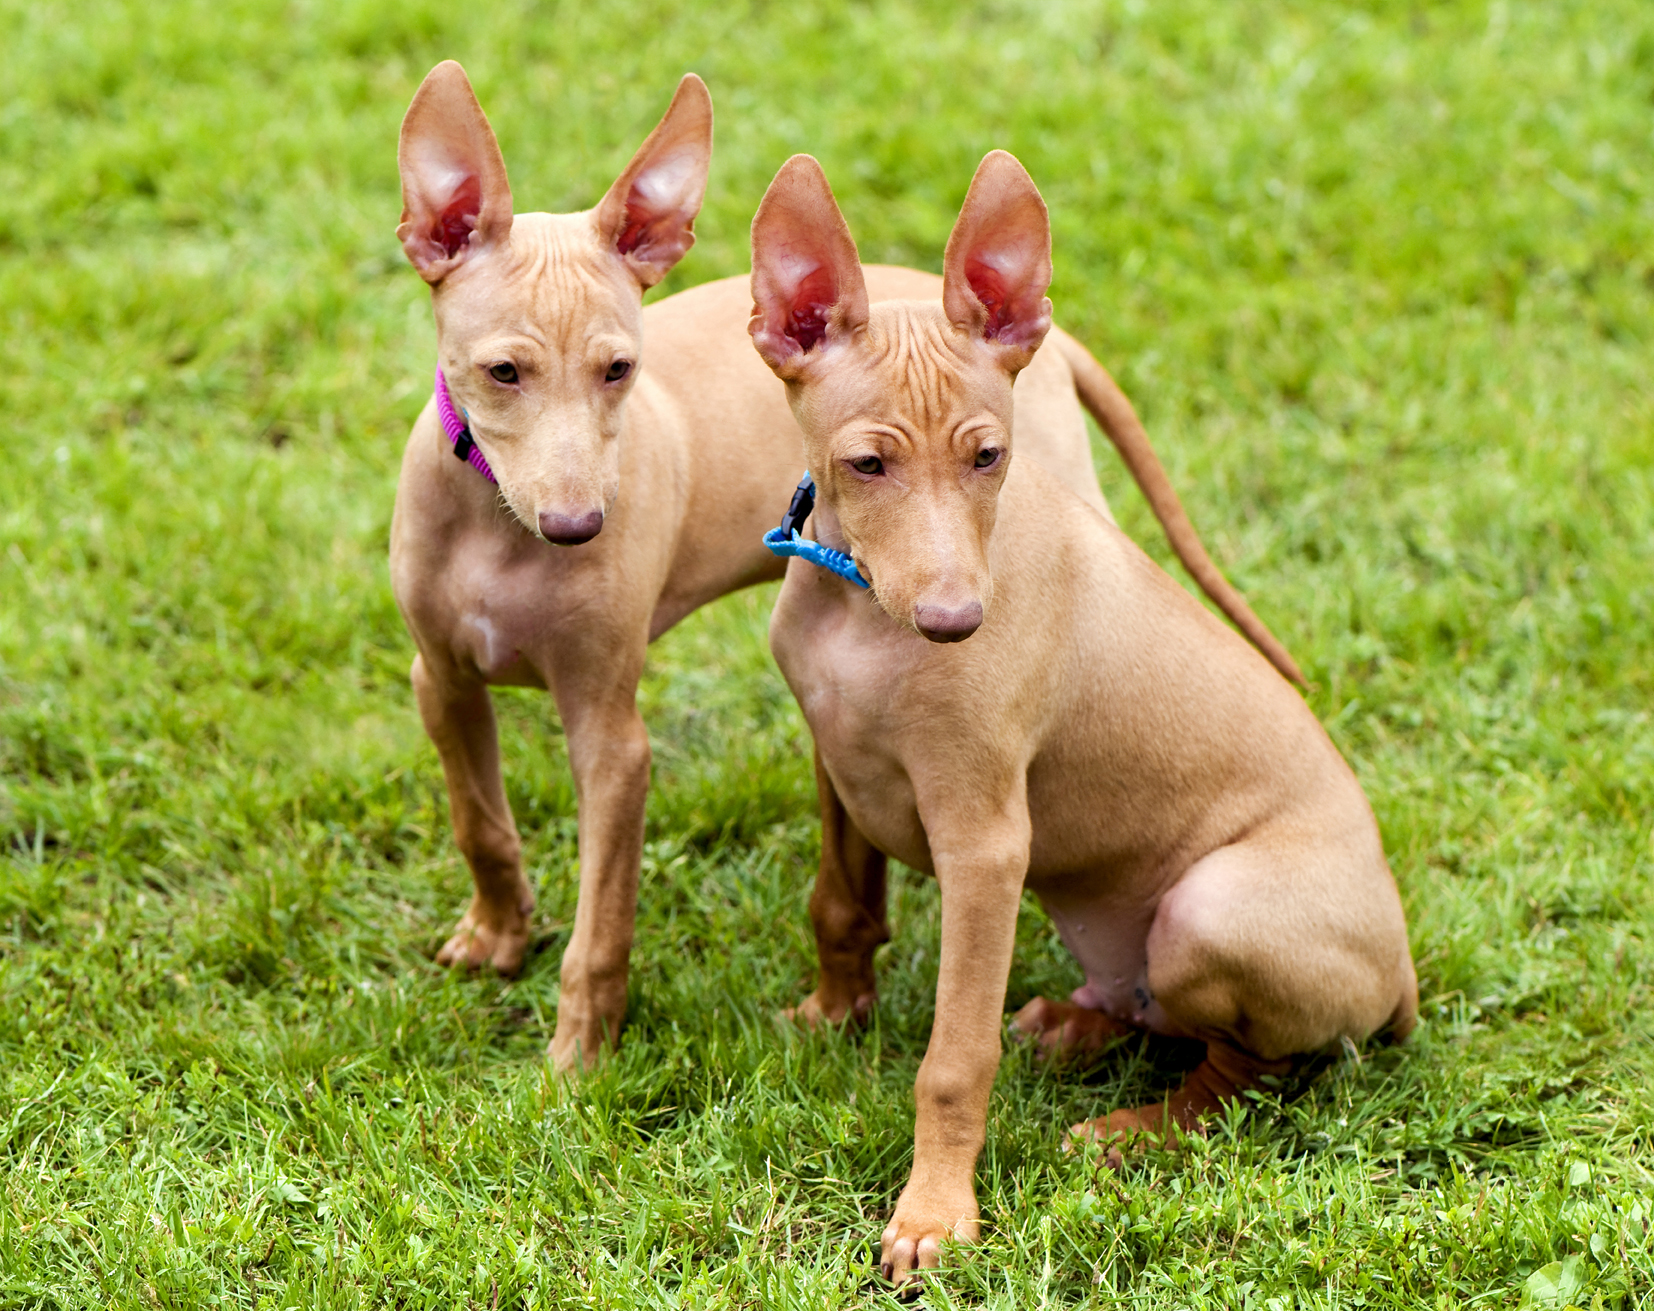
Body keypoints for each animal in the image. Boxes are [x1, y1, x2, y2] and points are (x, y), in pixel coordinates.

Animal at [387, 61, 1197, 1071]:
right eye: (503, 373)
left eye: (620, 371)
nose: (579, 526)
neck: (496, 530)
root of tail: (1048, 341)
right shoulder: (441, 678)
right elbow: (480, 823)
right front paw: (498, 934)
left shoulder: (612, 740)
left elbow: (600, 922)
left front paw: (577, 1058)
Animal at [747, 151, 1409, 1276]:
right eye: (866, 464)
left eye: (990, 458)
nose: (955, 623)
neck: (860, 605)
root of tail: (1405, 969)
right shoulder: (835, 762)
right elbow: (839, 908)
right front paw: (831, 1015)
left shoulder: (984, 846)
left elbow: (953, 1056)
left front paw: (935, 1213)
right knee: (1162, 1017)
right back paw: (1078, 1024)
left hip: (1211, 911)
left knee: (1246, 1076)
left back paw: (1131, 1132)